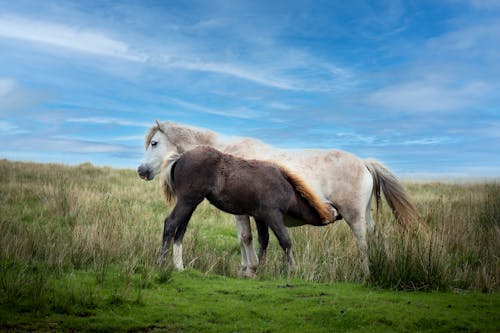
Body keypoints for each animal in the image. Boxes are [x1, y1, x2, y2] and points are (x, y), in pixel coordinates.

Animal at [138, 120, 418, 276]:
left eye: (154, 143)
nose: (142, 171)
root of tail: (364, 163)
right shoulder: (250, 213)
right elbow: (247, 239)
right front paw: (247, 269)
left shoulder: (246, 213)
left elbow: (246, 238)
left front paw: (250, 269)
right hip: (365, 216)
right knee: (374, 239)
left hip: (354, 217)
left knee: (363, 244)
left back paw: (367, 274)